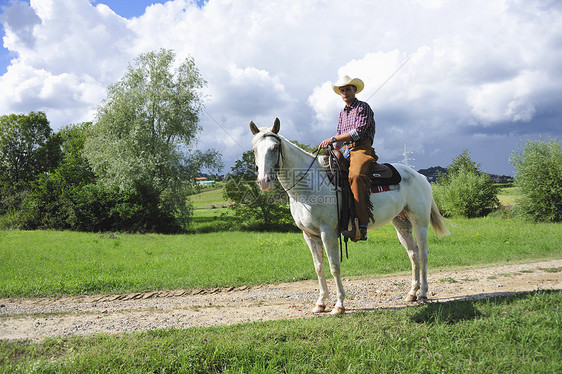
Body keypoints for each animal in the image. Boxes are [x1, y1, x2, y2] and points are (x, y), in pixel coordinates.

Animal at [248, 118, 446, 314]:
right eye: (254, 149)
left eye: (275, 147)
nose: (263, 181)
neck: (309, 184)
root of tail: (420, 176)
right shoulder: (309, 235)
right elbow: (319, 267)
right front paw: (320, 303)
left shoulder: (327, 232)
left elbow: (334, 267)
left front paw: (339, 304)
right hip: (401, 222)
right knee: (413, 253)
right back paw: (412, 293)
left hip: (420, 222)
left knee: (424, 254)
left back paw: (423, 294)